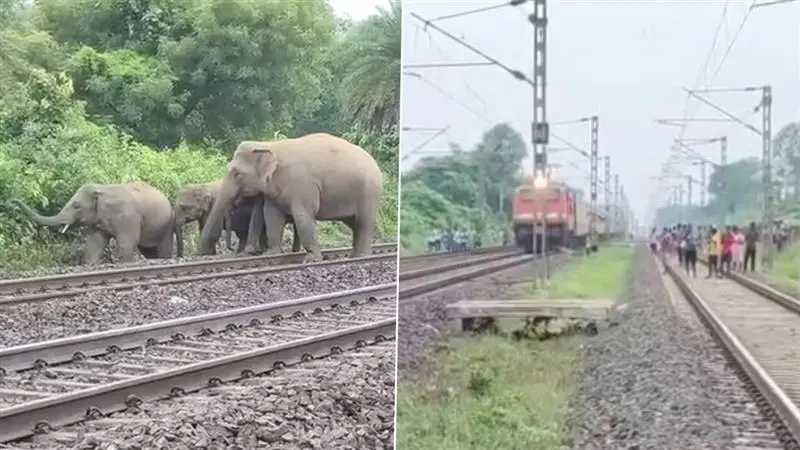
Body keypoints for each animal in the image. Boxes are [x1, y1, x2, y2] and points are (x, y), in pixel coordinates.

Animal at [12, 182, 175, 265]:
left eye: (76, 206)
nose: (14, 201)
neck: (102, 188)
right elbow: (95, 242)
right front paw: (90, 264)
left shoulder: (127, 217)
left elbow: (127, 242)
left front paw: (125, 264)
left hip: (166, 226)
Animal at [199, 133, 383, 262]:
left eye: (237, 174)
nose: (205, 254)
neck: (270, 145)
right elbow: (272, 216)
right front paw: (270, 255)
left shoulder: (302, 184)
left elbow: (302, 217)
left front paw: (312, 259)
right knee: (354, 223)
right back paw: (355, 256)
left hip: (369, 192)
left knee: (364, 222)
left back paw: (361, 257)